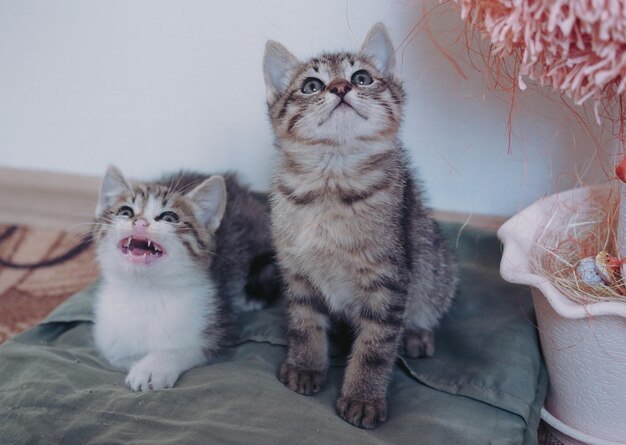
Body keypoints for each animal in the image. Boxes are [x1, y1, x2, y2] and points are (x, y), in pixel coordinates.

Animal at [260, 23, 456, 426]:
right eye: (311, 85)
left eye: (362, 78)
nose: (340, 87)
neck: (331, 185)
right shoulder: (296, 273)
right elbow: (304, 324)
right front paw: (306, 365)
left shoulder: (389, 281)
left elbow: (375, 347)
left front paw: (363, 397)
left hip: (435, 265)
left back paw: (417, 335)